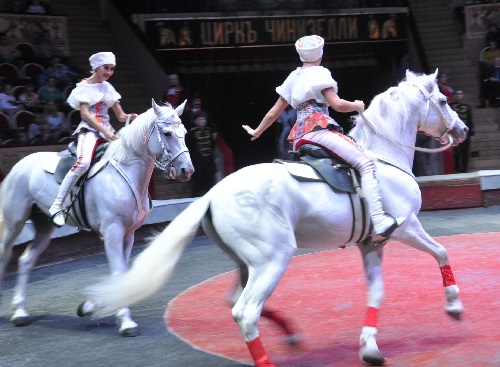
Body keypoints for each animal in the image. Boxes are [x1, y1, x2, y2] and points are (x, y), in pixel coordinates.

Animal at [0, 99, 193, 338]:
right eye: (167, 133)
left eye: (184, 132)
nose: (187, 170)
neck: (126, 172)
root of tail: (19, 165)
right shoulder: (112, 232)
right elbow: (118, 272)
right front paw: (126, 322)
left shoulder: (128, 234)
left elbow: (122, 273)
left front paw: (90, 306)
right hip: (15, 222)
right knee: (5, 253)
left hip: (44, 226)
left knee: (25, 260)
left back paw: (20, 312)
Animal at [85, 69, 468, 366]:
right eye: (443, 101)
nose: (463, 130)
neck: (383, 154)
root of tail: (211, 195)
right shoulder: (406, 227)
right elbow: (442, 252)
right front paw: (454, 305)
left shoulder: (372, 245)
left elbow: (376, 294)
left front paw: (370, 348)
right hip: (273, 258)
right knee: (245, 312)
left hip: (248, 262)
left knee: (236, 301)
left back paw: (289, 333)